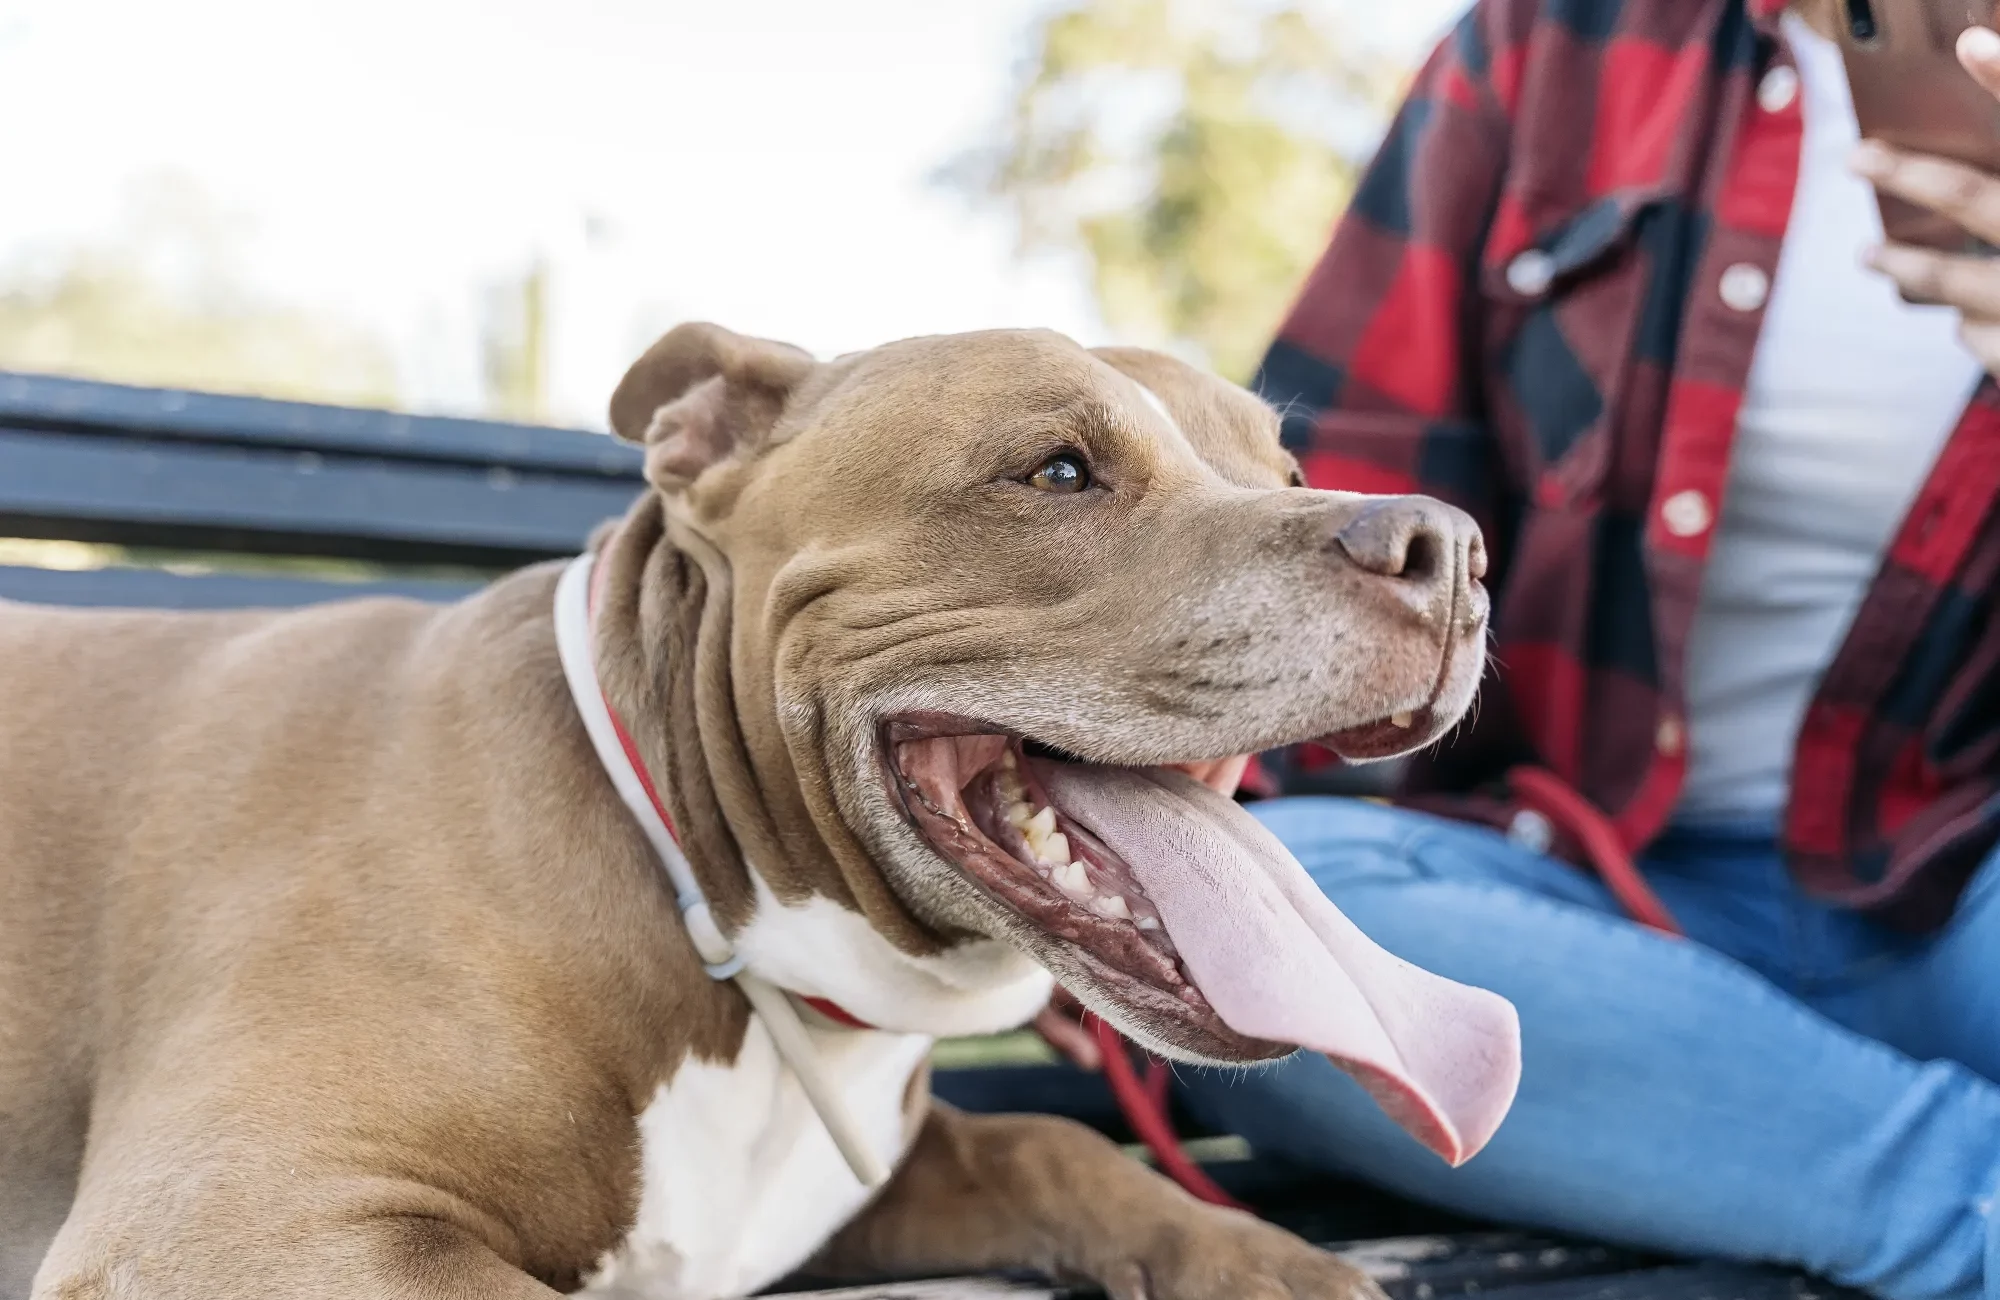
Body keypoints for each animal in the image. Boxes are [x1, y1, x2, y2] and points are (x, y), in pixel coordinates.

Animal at [0, 324, 1512, 1296]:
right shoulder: (241, 1219)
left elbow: (1049, 1141)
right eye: (1057, 469)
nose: (1448, 546)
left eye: (1291, 475)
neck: (702, 901)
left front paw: (1259, 1259)